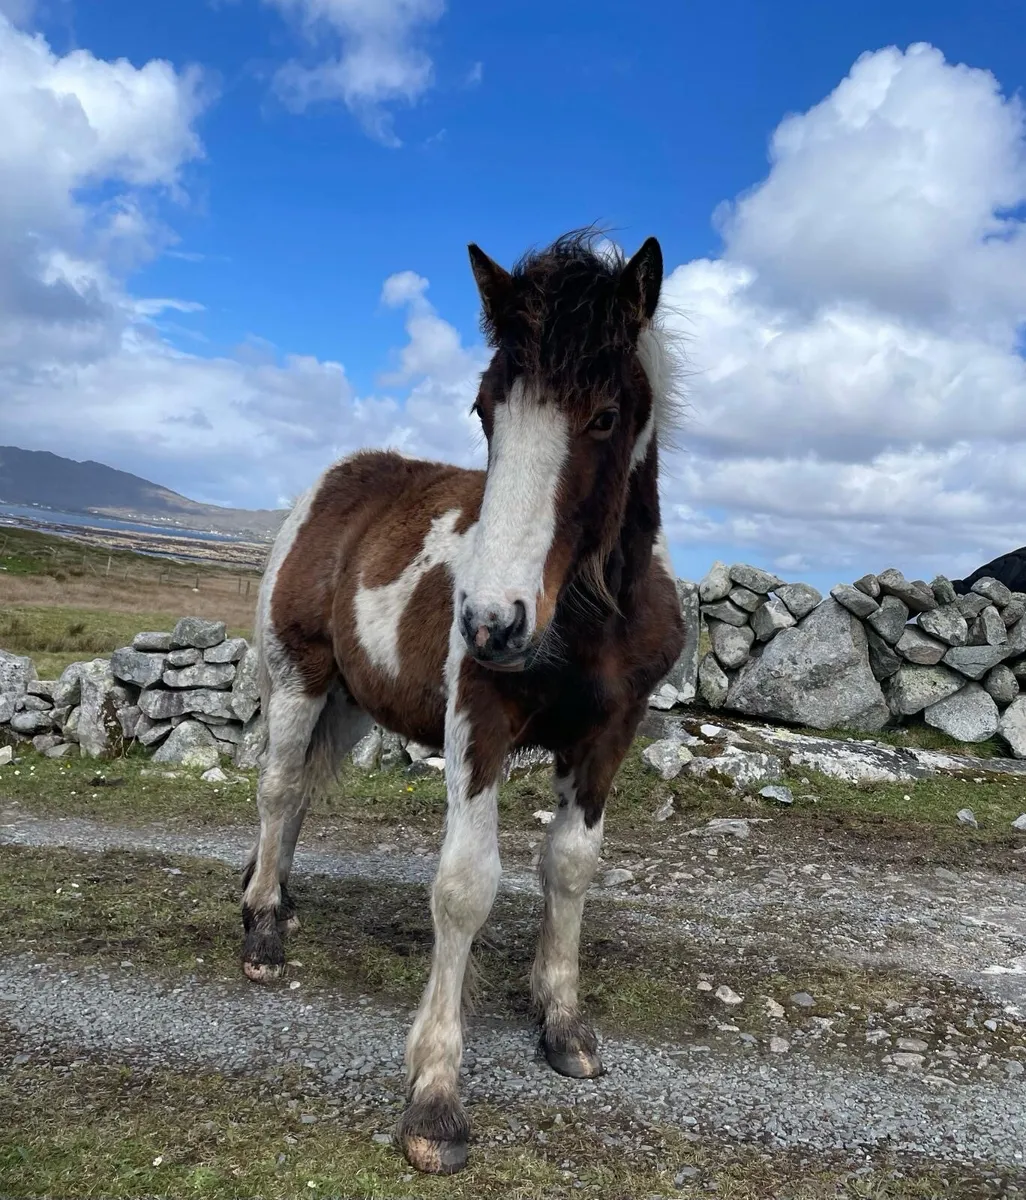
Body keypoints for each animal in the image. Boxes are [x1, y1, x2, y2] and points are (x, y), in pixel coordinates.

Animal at [241, 230, 686, 1175]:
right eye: (487, 411)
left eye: (604, 416)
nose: (490, 621)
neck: (589, 613)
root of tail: (336, 480)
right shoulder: (478, 724)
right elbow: (464, 887)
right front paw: (435, 1098)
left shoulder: (608, 736)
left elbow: (570, 865)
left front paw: (563, 1023)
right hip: (299, 677)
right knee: (277, 789)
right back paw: (261, 928)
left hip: (347, 700)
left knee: (298, 799)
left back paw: (277, 897)